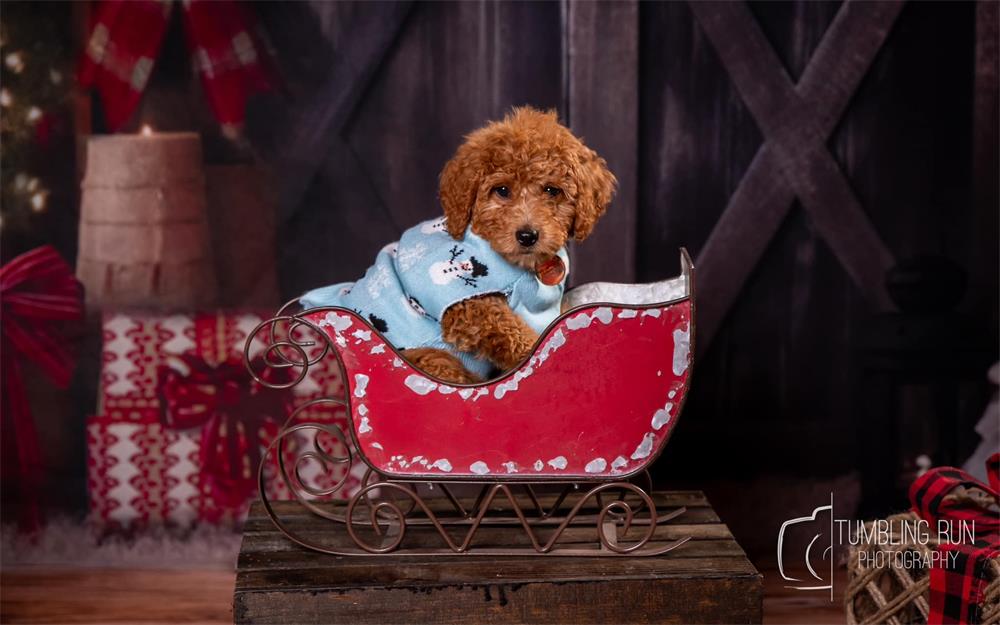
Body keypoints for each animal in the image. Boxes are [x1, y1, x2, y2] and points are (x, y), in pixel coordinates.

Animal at [300, 105, 612, 382]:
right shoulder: (467, 308)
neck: (521, 269)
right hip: (426, 358)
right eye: (502, 191)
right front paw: (544, 354)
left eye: (552, 190)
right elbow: (514, 333)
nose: (527, 235)